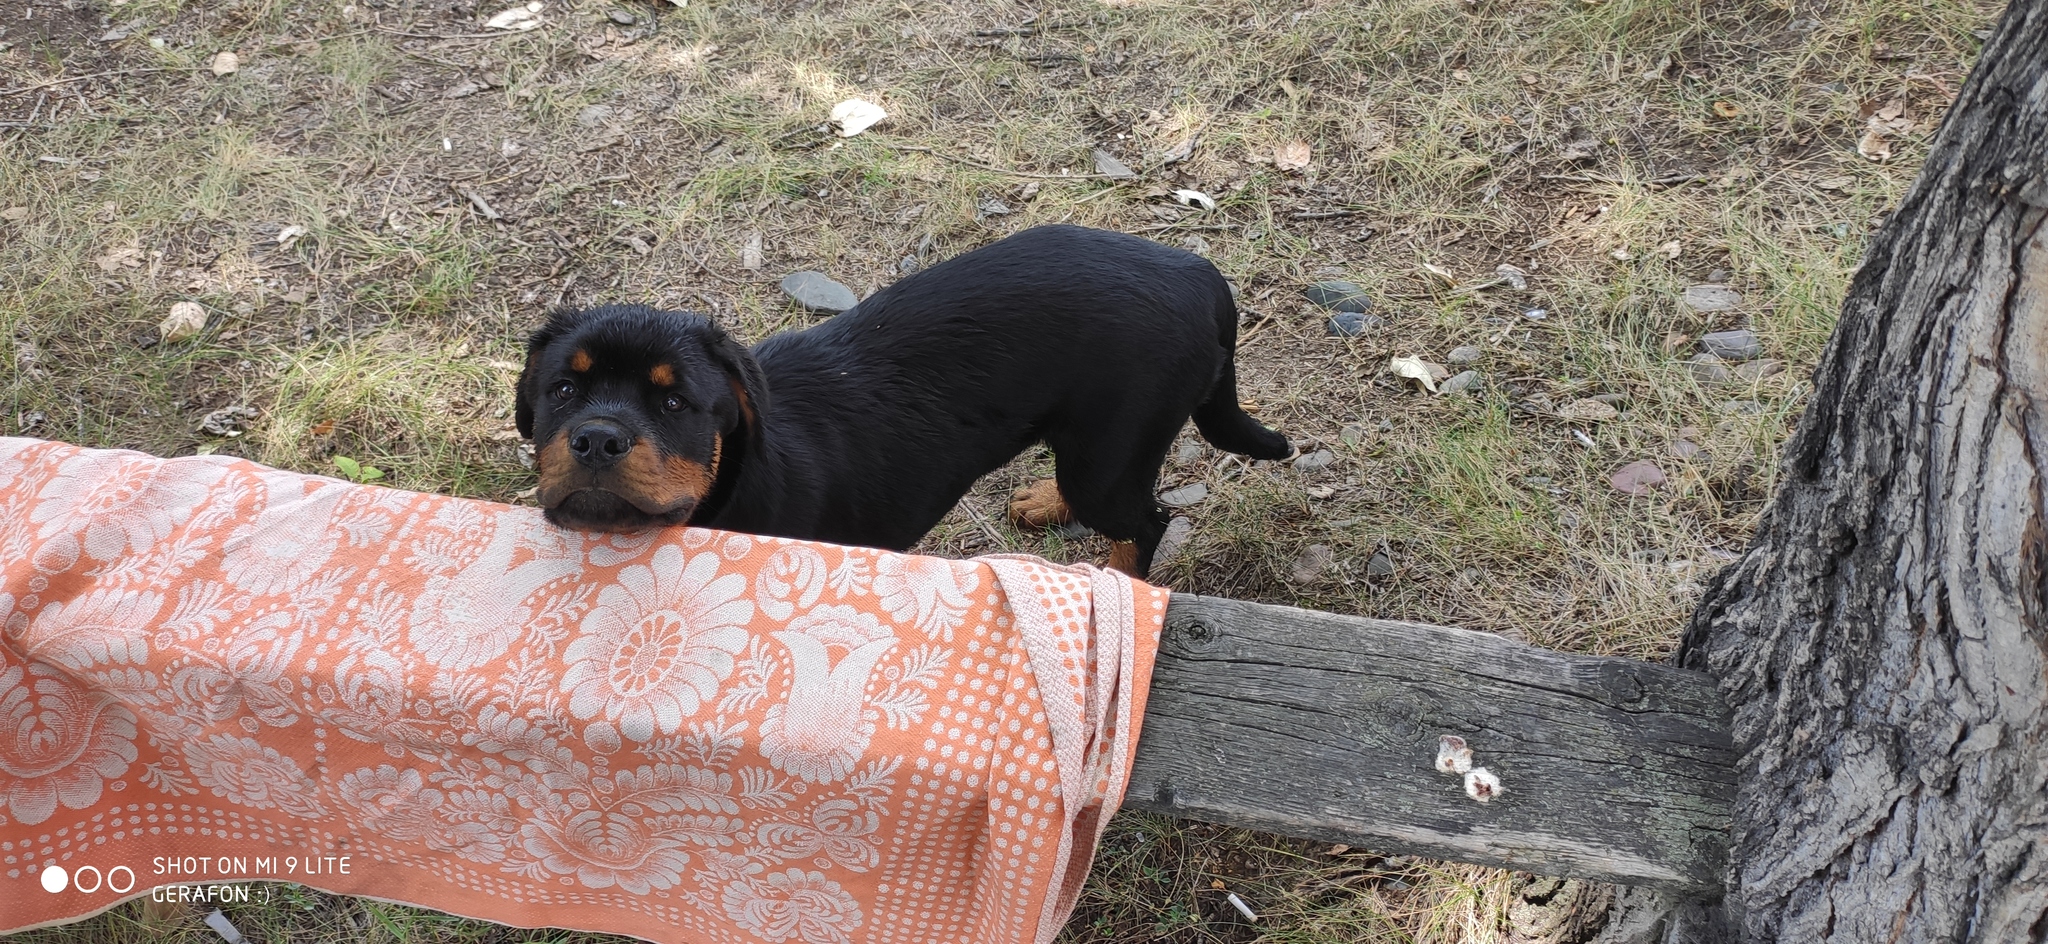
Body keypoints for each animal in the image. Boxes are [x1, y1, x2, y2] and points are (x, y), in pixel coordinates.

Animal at [512, 222, 1286, 573]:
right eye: (562, 390)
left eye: (676, 405)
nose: (597, 439)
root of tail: (1202, 277)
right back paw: (1045, 500)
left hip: (1111, 453)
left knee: (1144, 524)